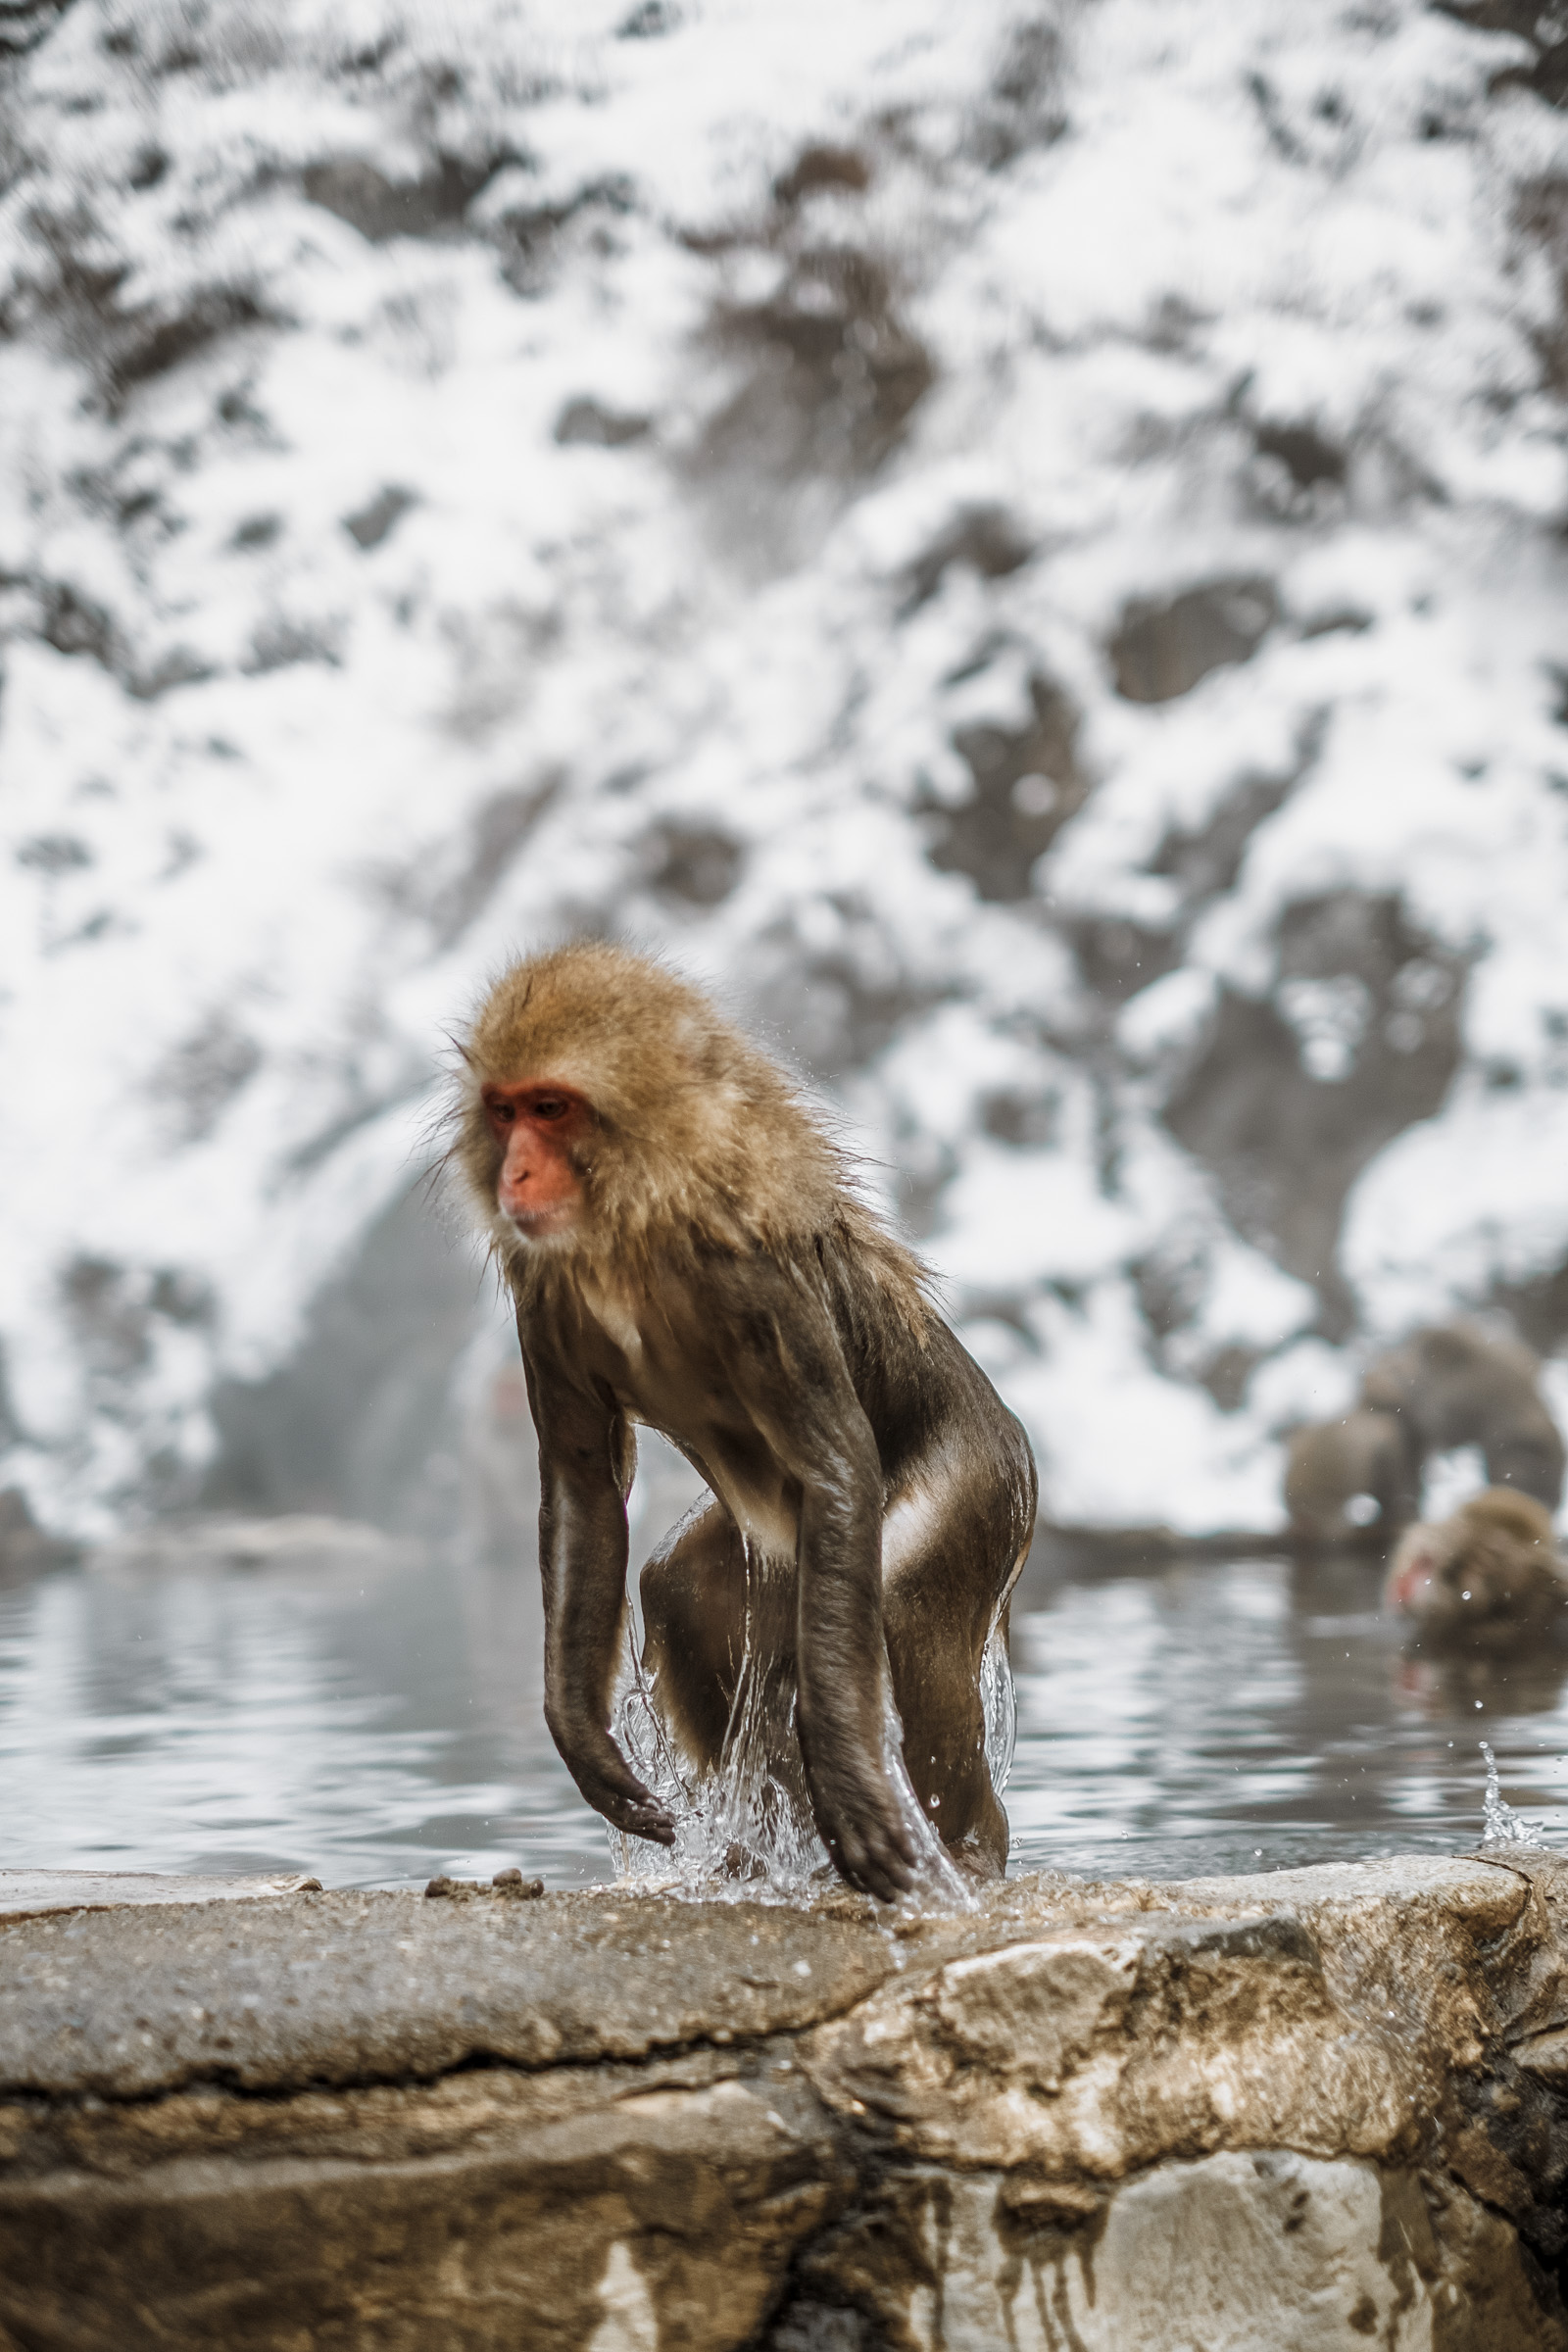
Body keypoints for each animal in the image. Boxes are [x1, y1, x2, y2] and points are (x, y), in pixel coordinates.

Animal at [450, 942, 1037, 1901]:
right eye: (505, 1112)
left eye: (551, 1108)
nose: (515, 1174)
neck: (635, 1230)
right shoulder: (542, 1288)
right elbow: (582, 1481)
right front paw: (584, 1741)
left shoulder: (756, 1278)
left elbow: (838, 1462)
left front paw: (853, 1789)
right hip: (774, 1543)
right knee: (685, 1590)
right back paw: (762, 1858)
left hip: (984, 1485)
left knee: (895, 1595)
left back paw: (965, 1848)